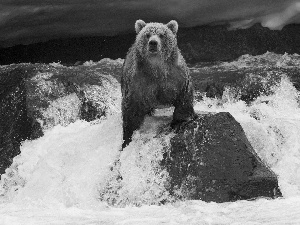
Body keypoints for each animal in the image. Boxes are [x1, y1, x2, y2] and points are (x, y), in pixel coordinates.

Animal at [120, 20, 196, 149]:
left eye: (161, 35)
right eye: (147, 34)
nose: (153, 43)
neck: (157, 70)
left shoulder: (177, 77)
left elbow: (184, 98)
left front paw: (180, 122)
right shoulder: (137, 82)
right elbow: (131, 108)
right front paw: (128, 136)